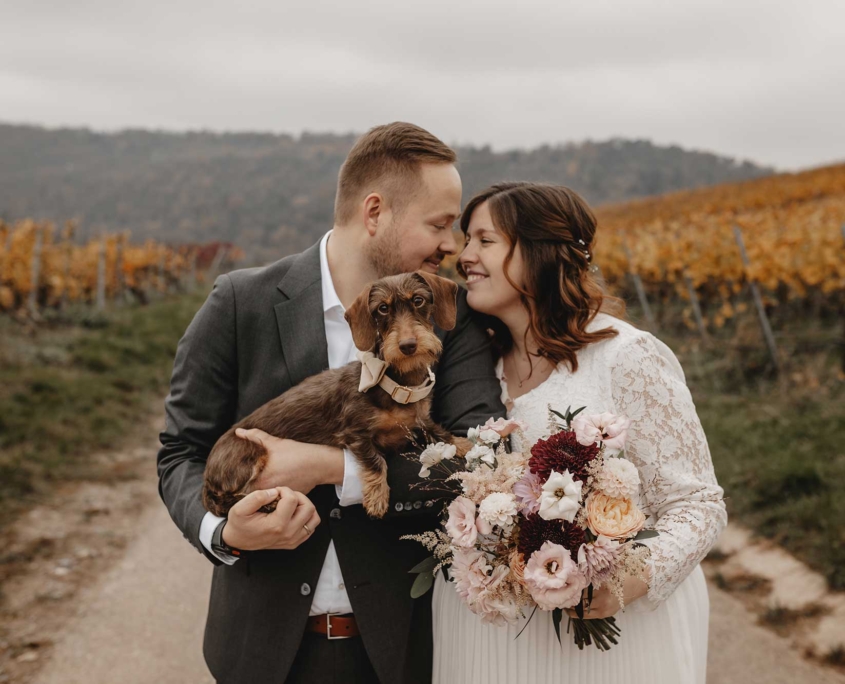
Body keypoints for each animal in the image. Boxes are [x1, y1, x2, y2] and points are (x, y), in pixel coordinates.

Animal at [202, 270, 471, 519]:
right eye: (383, 308)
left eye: (418, 300)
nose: (407, 346)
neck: (395, 384)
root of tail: (208, 471)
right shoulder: (355, 433)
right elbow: (376, 461)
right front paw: (377, 497)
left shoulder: (419, 421)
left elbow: (439, 432)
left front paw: (463, 444)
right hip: (248, 454)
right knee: (226, 501)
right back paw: (268, 502)